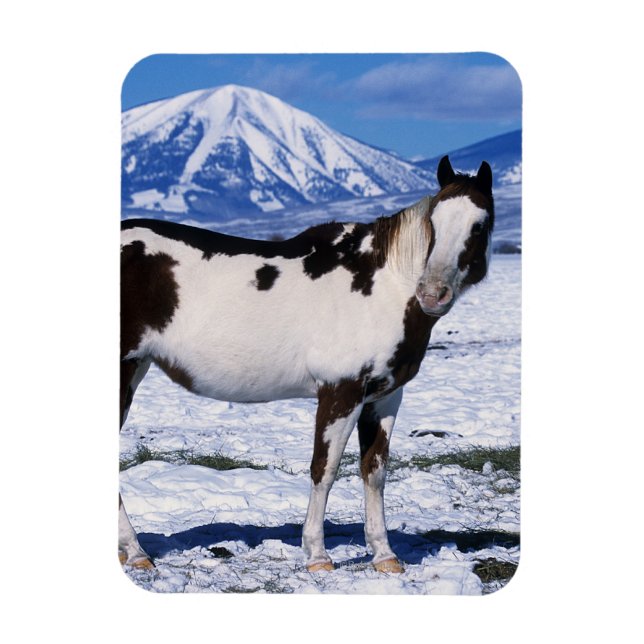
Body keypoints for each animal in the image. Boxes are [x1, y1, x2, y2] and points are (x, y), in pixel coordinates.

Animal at [119, 155, 494, 573]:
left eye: (479, 224)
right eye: (434, 222)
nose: (431, 293)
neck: (384, 286)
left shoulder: (384, 397)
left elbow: (374, 471)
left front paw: (384, 555)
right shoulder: (341, 392)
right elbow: (324, 470)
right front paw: (317, 555)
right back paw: (136, 552)